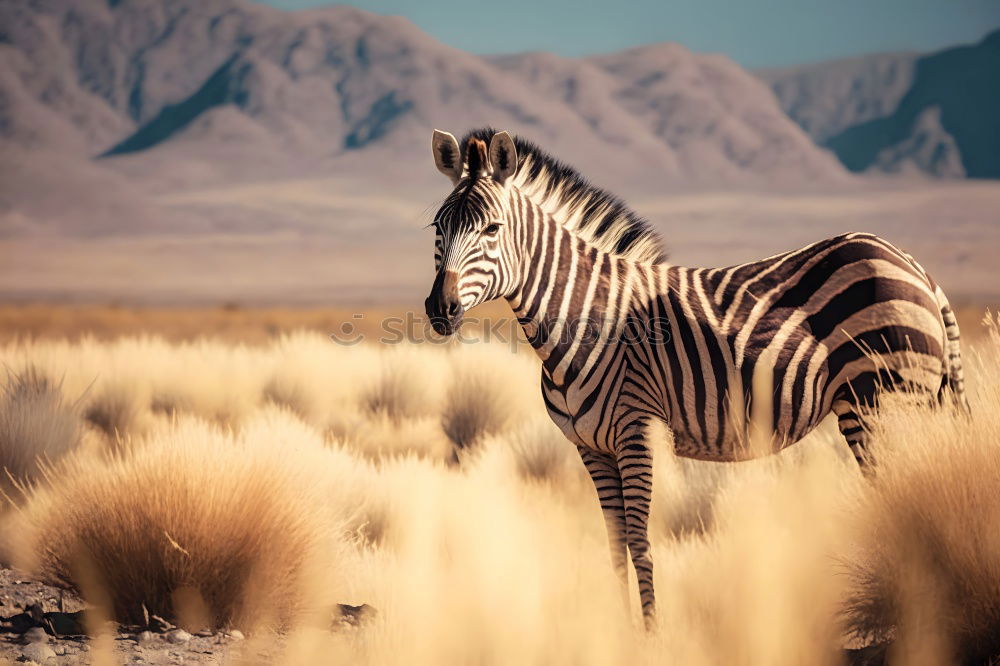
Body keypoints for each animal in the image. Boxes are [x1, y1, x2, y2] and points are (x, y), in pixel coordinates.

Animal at [420, 127, 968, 624]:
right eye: (437, 229)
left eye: (491, 230)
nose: (439, 309)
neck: (584, 316)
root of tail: (914, 265)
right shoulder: (591, 448)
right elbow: (614, 546)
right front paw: (620, 631)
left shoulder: (638, 431)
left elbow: (640, 543)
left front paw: (652, 636)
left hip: (884, 400)